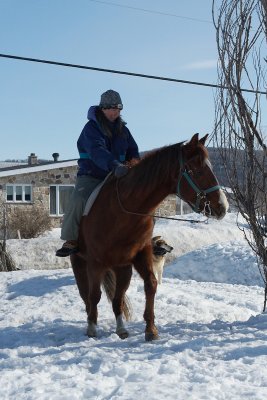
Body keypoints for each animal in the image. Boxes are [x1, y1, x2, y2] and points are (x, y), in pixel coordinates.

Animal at [71, 134, 230, 340]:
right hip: (81, 265)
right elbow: (94, 295)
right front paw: (91, 328)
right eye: (197, 170)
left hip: (123, 269)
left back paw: (121, 329)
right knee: (87, 296)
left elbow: (151, 284)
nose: (223, 206)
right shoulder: (95, 263)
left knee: (117, 298)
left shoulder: (140, 255)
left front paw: (151, 329)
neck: (122, 211)